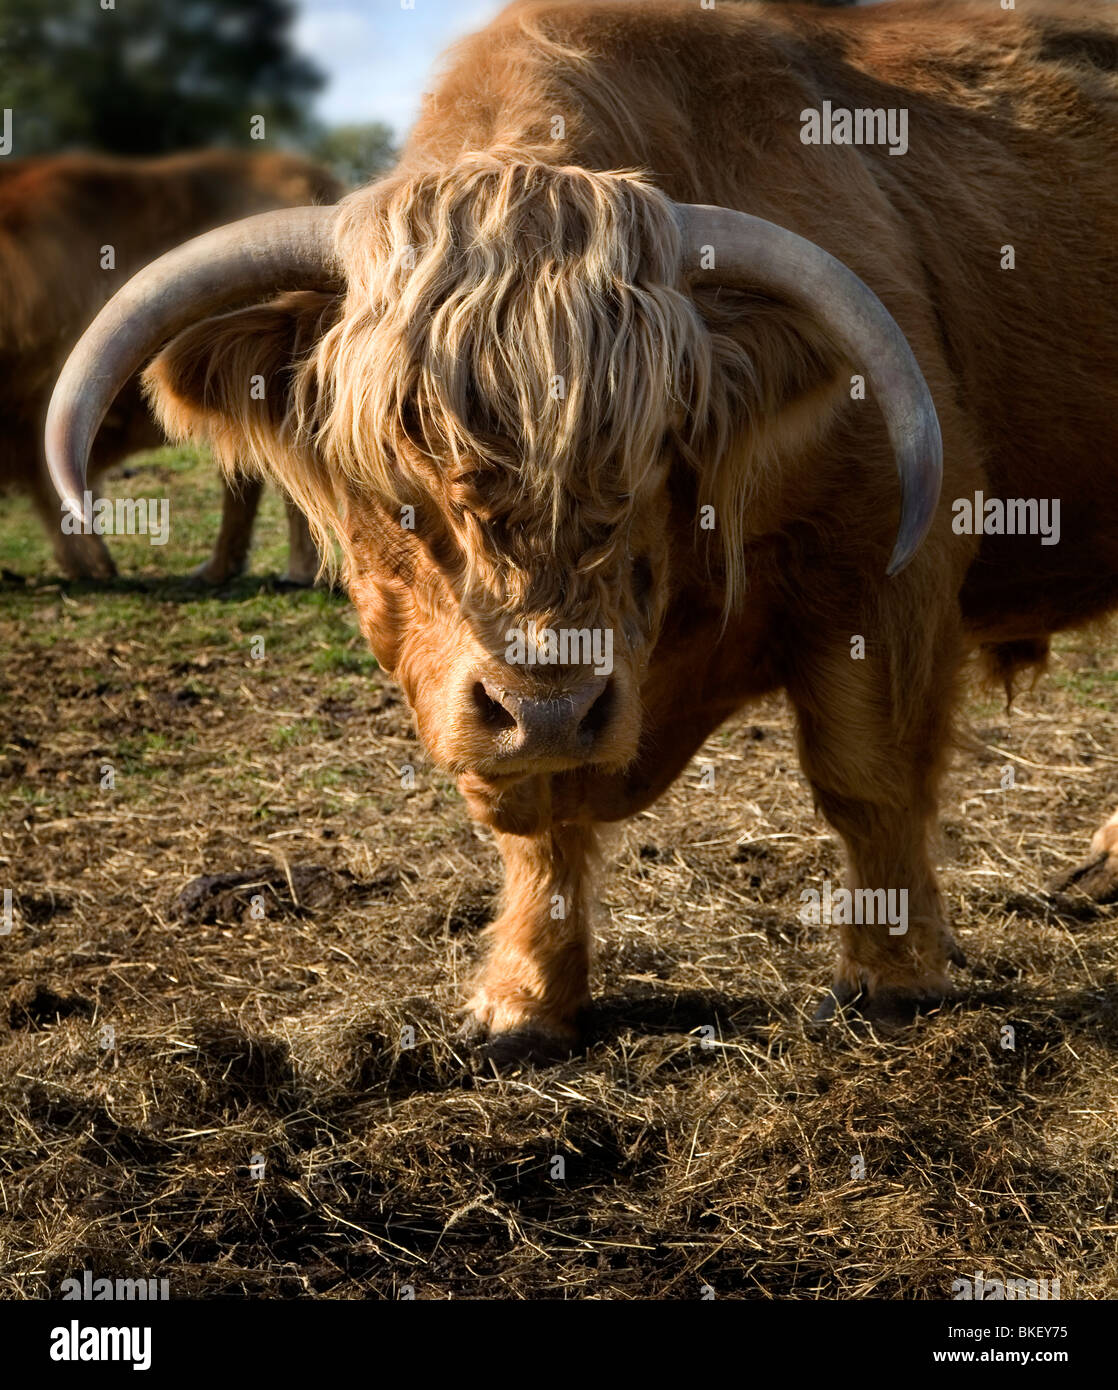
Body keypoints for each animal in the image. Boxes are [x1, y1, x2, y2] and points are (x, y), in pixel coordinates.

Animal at [41, 0, 1118, 1056]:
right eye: (392, 477)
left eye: (651, 452)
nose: (550, 706)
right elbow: (536, 824)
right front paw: (524, 1002)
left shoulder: (882, 573)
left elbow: (867, 779)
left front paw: (890, 981)